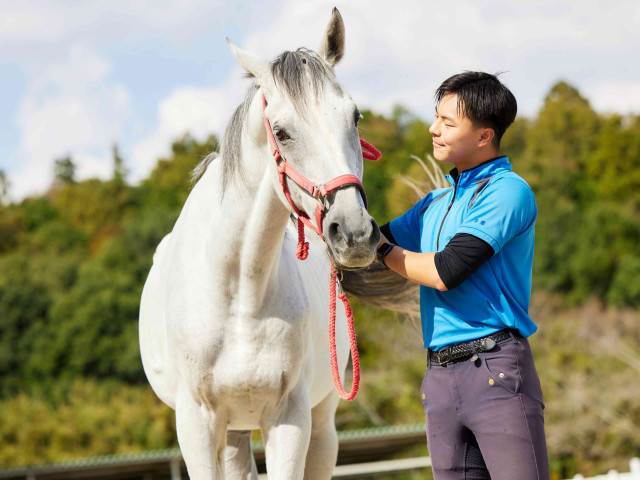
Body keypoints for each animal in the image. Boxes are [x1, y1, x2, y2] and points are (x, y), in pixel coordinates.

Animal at [139, 8, 387, 479]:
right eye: (282, 132)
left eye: (356, 117)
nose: (354, 233)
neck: (240, 294)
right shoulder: (197, 425)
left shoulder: (290, 419)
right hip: (234, 432)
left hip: (320, 423)